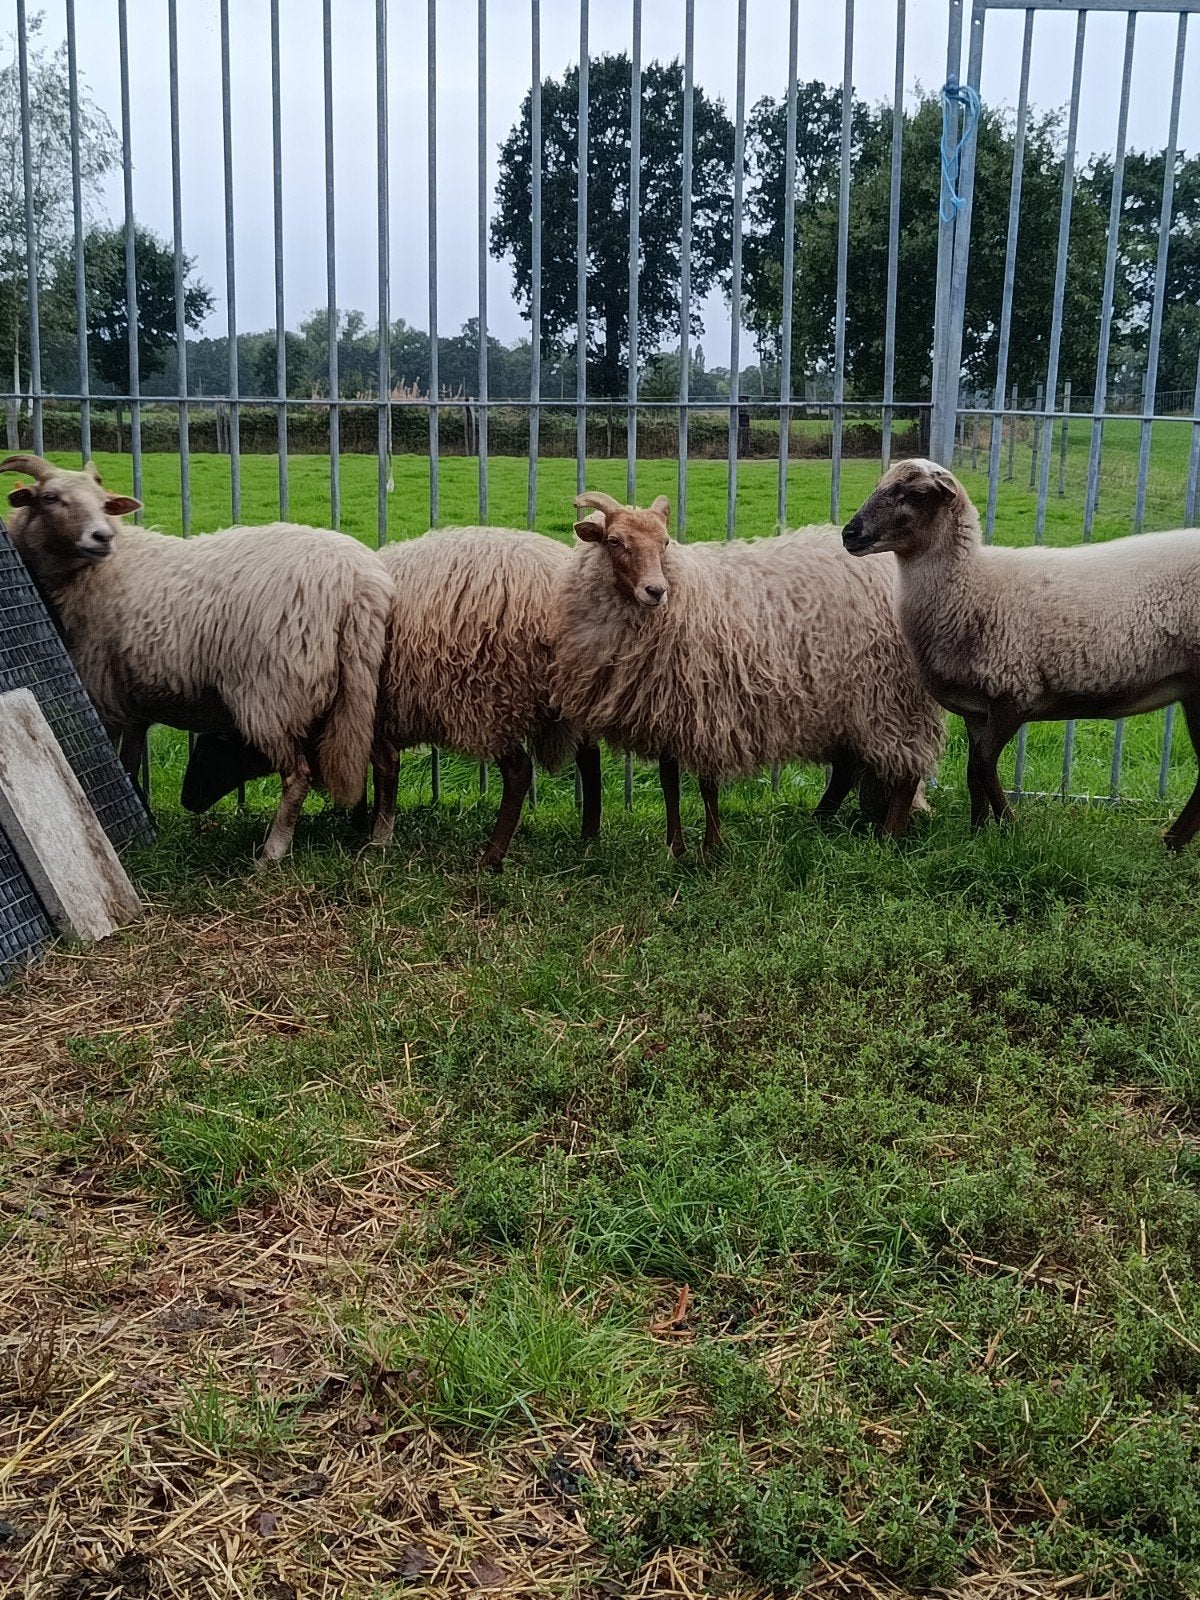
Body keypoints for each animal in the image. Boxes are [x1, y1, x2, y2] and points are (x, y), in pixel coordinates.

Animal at [1, 454, 392, 862]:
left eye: (102, 502)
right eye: (49, 497)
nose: (101, 537)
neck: (97, 571)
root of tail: (355, 580)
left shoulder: (103, 693)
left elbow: (108, 765)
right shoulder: (134, 707)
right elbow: (128, 766)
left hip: (271, 693)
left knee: (298, 776)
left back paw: (272, 853)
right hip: (356, 691)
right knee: (370, 760)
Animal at [369, 524, 600, 870]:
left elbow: (385, 772)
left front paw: (376, 839)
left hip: (492, 700)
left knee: (519, 772)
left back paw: (491, 857)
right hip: (562, 698)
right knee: (589, 756)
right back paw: (588, 838)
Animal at [552, 491, 945, 852]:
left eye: (664, 542)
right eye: (614, 541)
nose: (656, 591)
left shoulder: (707, 711)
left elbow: (707, 785)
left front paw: (712, 848)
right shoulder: (668, 710)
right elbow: (669, 783)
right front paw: (676, 849)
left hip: (892, 697)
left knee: (906, 772)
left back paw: (888, 840)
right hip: (849, 705)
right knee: (847, 770)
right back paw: (817, 823)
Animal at [841, 457, 1200, 849]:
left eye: (916, 494)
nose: (849, 534)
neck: (971, 585)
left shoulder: (1013, 692)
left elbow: (982, 764)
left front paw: (1009, 826)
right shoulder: (975, 708)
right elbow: (972, 770)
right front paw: (977, 831)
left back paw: (1173, 842)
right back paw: (1173, 843)